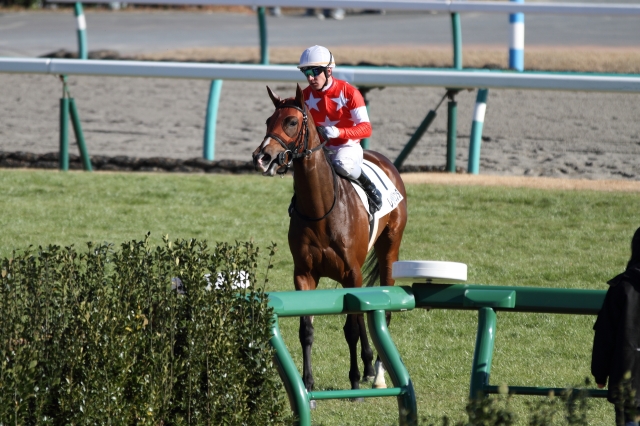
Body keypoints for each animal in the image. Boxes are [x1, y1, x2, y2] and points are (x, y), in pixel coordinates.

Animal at [252, 84, 408, 399]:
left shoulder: (351, 272)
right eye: (267, 120)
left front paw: (355, 380)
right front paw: (307, 382)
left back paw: (377, 374)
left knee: (380, 312)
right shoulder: (304, 274)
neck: (320, 210)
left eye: (291, 121)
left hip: (389, 251)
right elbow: (307, 330)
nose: (261, 157)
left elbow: (352, 327)